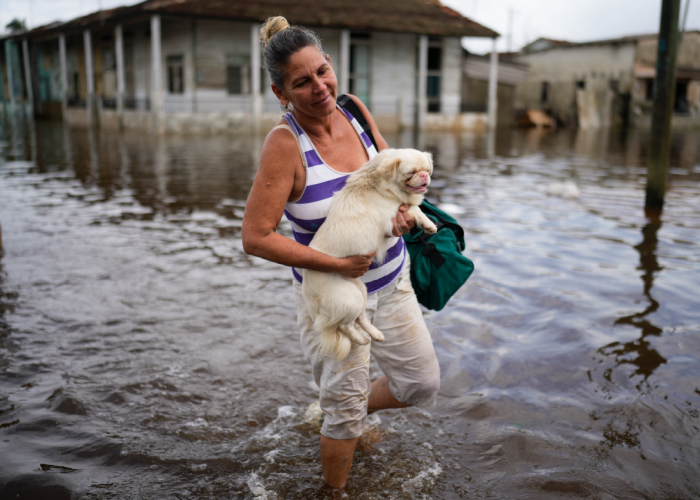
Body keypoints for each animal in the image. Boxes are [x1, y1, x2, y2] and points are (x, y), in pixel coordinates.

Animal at [302, 147, 438, 360]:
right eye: (411, 173)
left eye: (427, 170)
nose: (424, 176)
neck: (381, 183)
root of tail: (308, 293)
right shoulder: (392, 216)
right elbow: (414, 209)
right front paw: (429, 225)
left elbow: (414, 208)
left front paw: (429, 225)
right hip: (350, 299)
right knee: (345, 325)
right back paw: (361, 339)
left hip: (361, 289)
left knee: (360, 318)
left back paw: (375, 334)